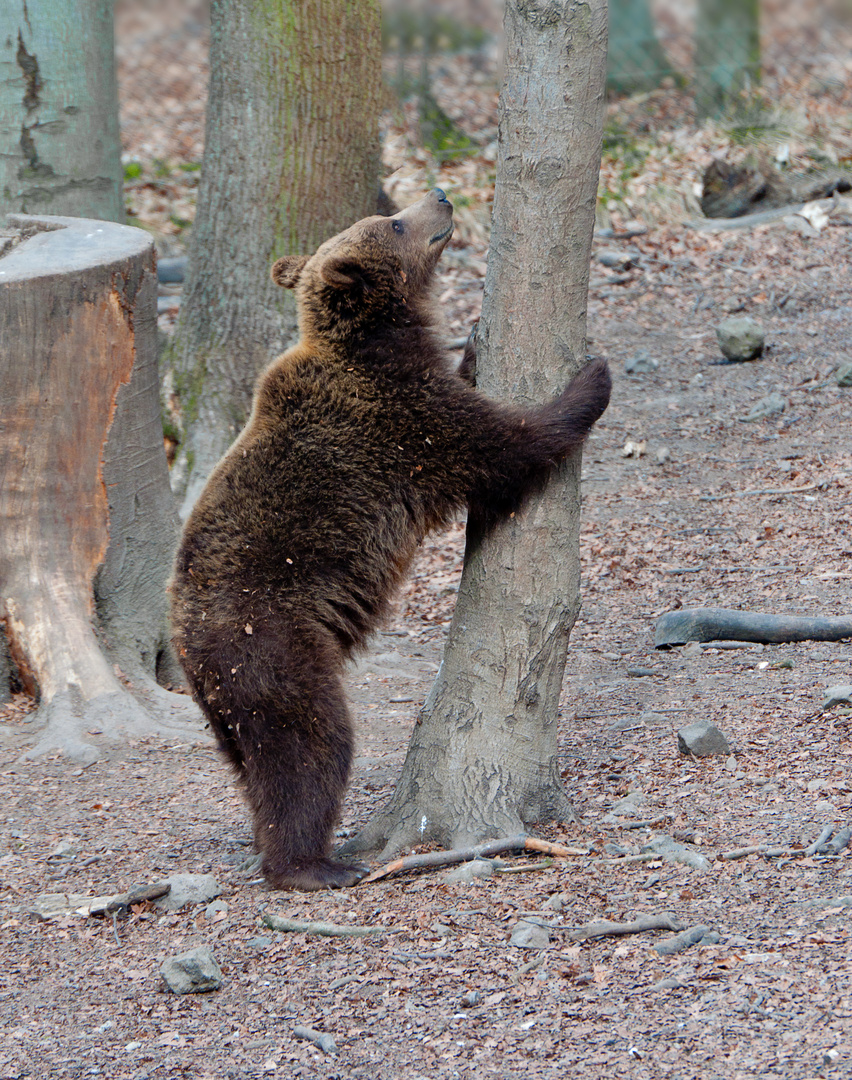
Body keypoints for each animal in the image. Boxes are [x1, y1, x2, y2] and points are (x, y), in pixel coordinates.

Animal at [171, 190, 613, 889]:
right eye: (396, 223)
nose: (441, 195)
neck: (377, 338)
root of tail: (186, 645)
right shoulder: (399, 418)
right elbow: (505, 441)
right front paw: (590, 379)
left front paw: (474, 350)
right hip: (270, 644)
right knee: (311, 746)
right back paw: (316, 864)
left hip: (228, 707)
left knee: (257, 772)